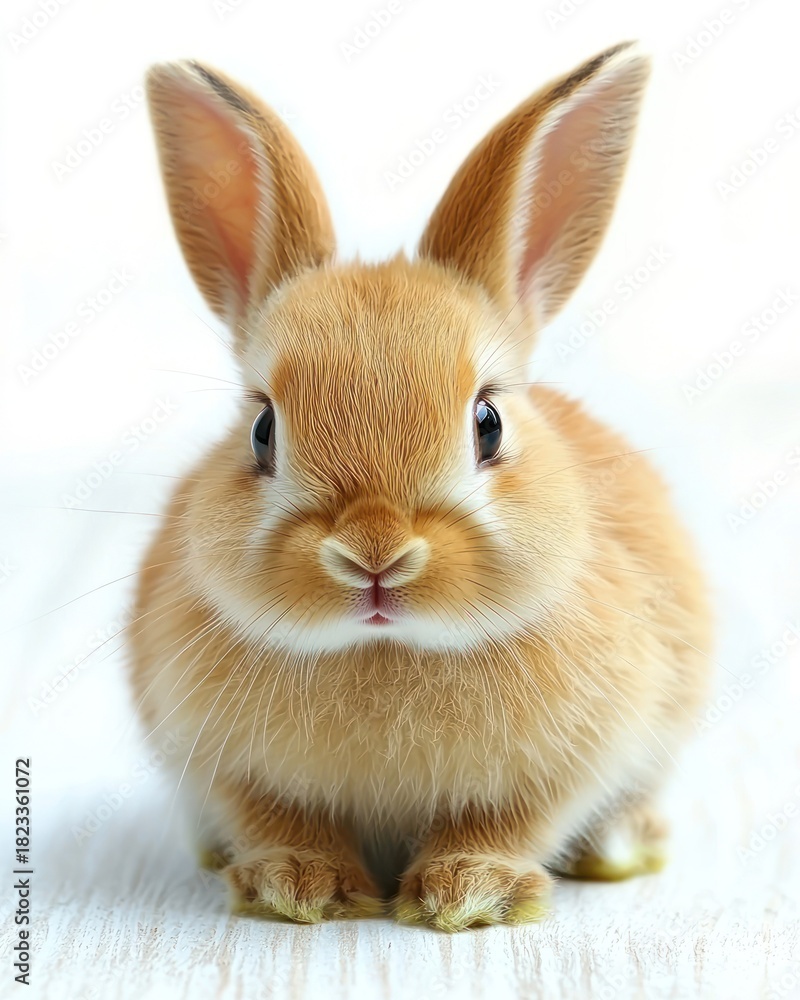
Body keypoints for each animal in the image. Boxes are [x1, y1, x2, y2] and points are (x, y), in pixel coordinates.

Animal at [129, 41, 712, 932]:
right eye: (263, 431)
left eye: (488, 424)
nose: (374, 554)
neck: (385, 649)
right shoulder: (227, 763)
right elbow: (278, 816)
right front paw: (299, 887)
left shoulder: (567, 763)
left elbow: (509, 822)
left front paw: (470, 893)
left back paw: (622, 848)